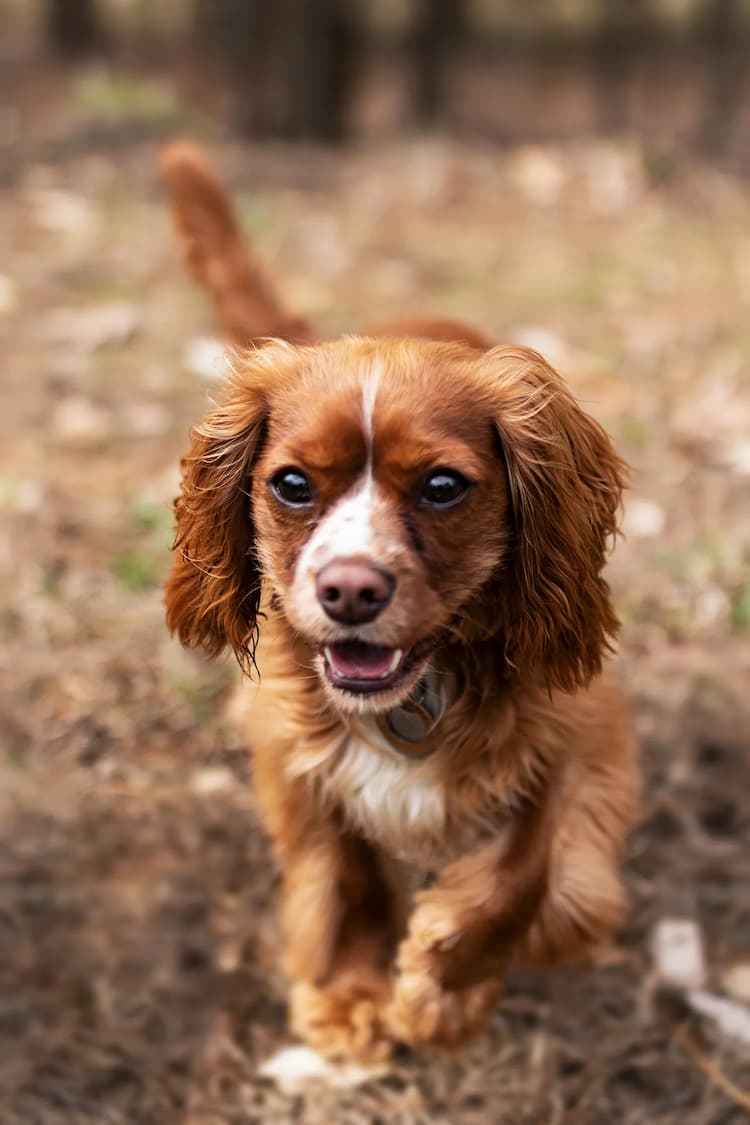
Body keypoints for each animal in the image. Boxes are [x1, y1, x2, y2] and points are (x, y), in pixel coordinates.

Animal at [161, 142, 638, 1062]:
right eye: (292, 483)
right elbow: (347, 876)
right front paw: (353, 993)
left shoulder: (583, 730)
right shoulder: (295, 749)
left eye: (444, 486)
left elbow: (528, 873)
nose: (349, 588)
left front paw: (441, 987)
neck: (419, 690)